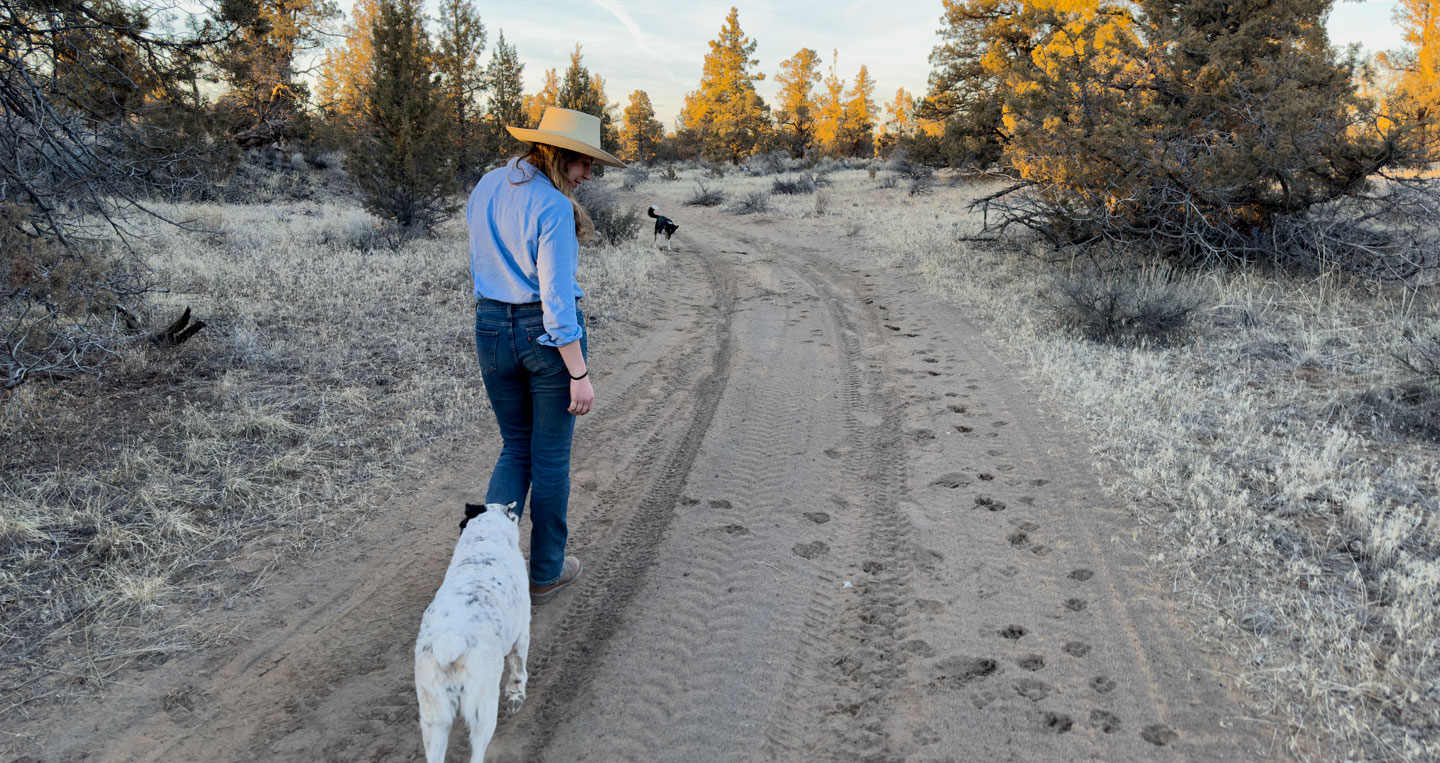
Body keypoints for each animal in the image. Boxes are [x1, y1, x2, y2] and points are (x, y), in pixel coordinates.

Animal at [414, 498, 532, 760]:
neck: (484, 540)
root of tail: (450, 645)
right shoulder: (522, 633)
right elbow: (519, 668)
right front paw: (517, 694)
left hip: (434, 720)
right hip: (482, 711)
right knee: (477, 753)